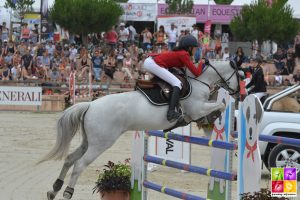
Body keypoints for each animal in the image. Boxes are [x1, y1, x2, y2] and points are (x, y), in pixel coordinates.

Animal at [38, 60, 243, 199]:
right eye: (241, 76)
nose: (240, 94)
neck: (199, 82)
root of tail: (90, 105)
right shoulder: (196, 109)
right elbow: (220, 105)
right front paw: (215, 116)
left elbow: (216, 107)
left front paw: (211, 118)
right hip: (101, 143)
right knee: (79, 164)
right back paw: (67, 192)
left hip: (89, 141)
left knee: (70, 159)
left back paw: (53, 189)